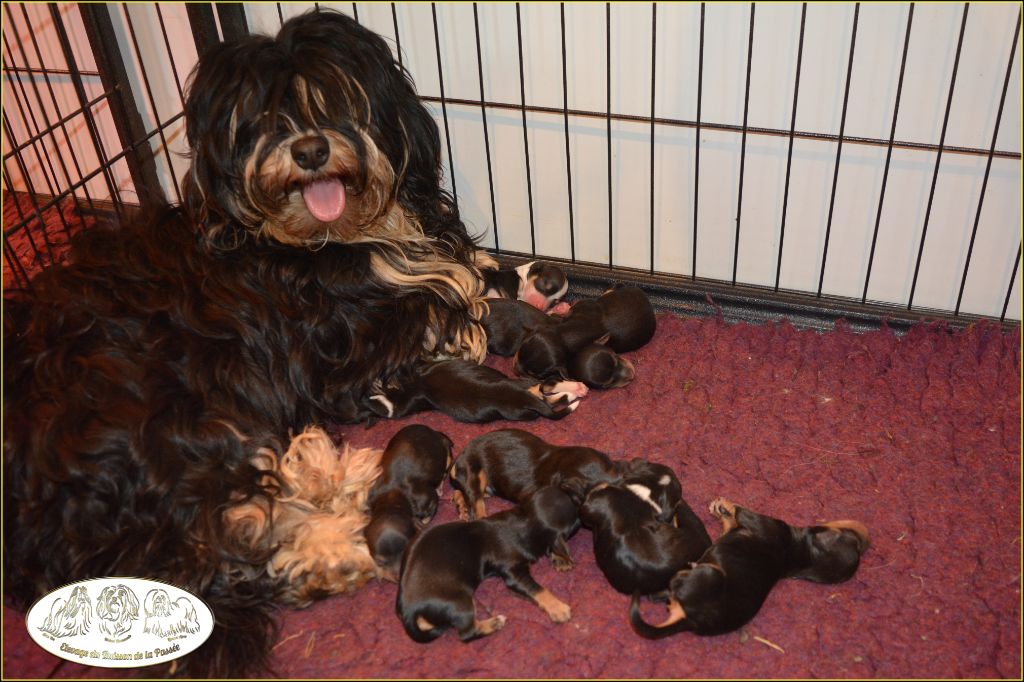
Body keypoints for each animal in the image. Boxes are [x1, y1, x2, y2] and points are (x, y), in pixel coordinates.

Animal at [364, 425, 452, 577]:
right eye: (380, 562)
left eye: (408, 552)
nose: (399, 577)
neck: (391, 498)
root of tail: (434, 432)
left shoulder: (431, 501)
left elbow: (425, 521)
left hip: (447, 454)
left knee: (445, 471)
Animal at [395, 485, 581, 638]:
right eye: (576, 519)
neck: (525, 521)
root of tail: (409, 611)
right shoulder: (515, 575)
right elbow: (539, 589)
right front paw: (558, 608)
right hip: (460, 602)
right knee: (467, 632)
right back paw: (495, 622)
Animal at [452, 428, 618, 518]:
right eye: (596, 494)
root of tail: (458, 459)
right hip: (474, 474)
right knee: (477, 506)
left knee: (462, 493)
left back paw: (462, 506)